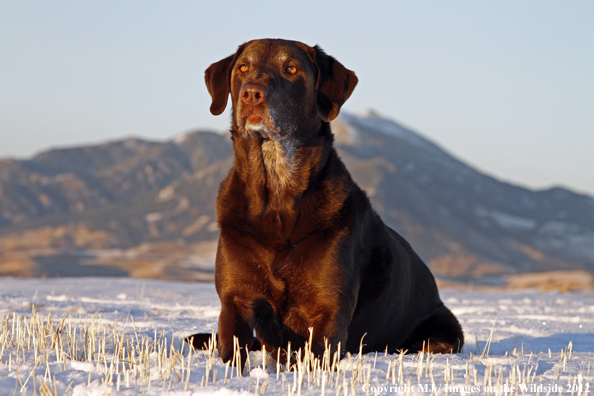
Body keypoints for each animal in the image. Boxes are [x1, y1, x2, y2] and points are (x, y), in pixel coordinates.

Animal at [187, 39, 460, 368]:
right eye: (242, 67)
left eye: (291, 68)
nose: (251, 93)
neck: (276, 193)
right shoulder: (235, 299)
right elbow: (232, 352)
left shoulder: (329, 308)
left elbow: (309, 358)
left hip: (444, 335)